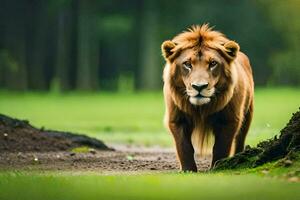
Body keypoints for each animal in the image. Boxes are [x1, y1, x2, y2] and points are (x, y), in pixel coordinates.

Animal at [162, 24, 253, 171]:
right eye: (187, 64)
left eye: (213, 63)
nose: (199, 87)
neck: (202, 108)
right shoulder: (177, 119)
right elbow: (184, 147)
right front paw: (188, 170)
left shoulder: (229, 120)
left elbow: (221, 147)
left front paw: (218, 167)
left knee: (240, 139)